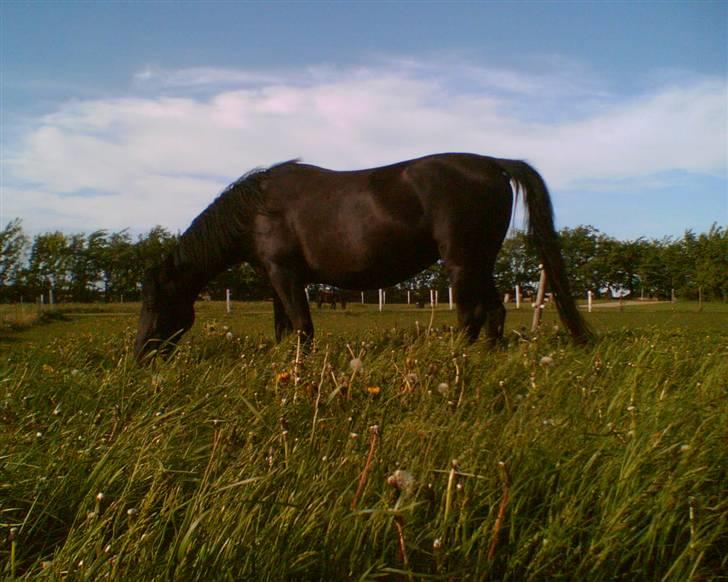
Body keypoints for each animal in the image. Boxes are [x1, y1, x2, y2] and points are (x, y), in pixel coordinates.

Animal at [135, 152, 592, 360]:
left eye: (155, 303)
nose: (139, 357)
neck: (256, 211)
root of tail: (493, 163)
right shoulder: (276, 279)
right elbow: (285, 328)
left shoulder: (286, 276)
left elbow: (302, 328)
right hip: (481, 262)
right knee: (494, 311)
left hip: (462, 262)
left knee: (470, 315)